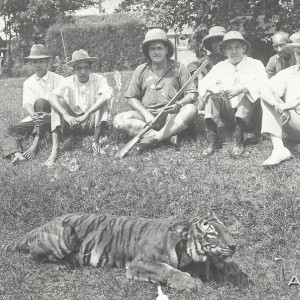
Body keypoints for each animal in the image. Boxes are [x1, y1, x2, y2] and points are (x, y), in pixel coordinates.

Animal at [14, 211, 250, 290]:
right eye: (212, 234)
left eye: (225, 229)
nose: (234, 245)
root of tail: (42, 225)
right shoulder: (141, 263)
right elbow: (166, 269)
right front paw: (190, 283)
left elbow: (218, 263)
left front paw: (235, 272)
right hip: (64, 235)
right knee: (31, 257)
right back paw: (60, 266)